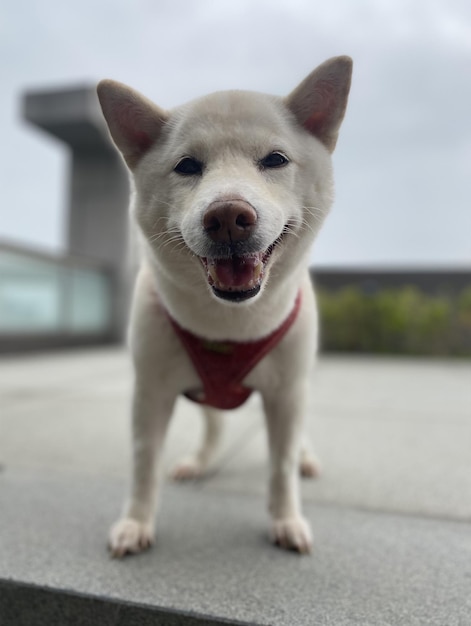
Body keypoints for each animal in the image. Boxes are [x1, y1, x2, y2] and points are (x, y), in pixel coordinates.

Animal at [97, 57, 352, 556]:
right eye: (186, 166)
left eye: (275, 159)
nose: (229, 216)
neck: (229, 322)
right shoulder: (151, 392)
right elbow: (143, 463)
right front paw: (136, 522)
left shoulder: (286, 393)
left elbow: (281, 465)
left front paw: (286, 519)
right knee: (213, 427)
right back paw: (198, 461)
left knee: (293, 440)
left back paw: (306, 458)